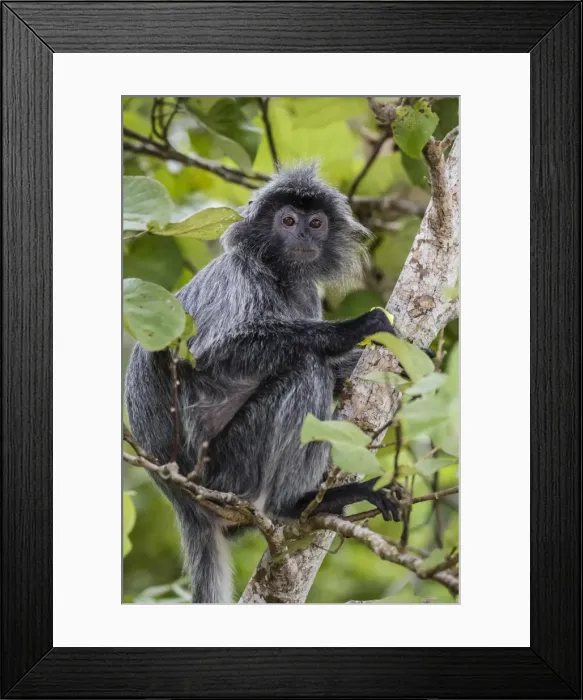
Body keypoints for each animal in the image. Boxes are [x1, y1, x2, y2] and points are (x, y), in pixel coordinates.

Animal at [125, 164, 401, 603]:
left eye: (316, 223)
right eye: (288, 221)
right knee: (306, 368)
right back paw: (296, 505)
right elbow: (213, 353)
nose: (303, 236)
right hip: (226, 472)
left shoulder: (305, 293)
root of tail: (184, 500)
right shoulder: (237, 275)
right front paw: (355, 328)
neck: (277, 275)